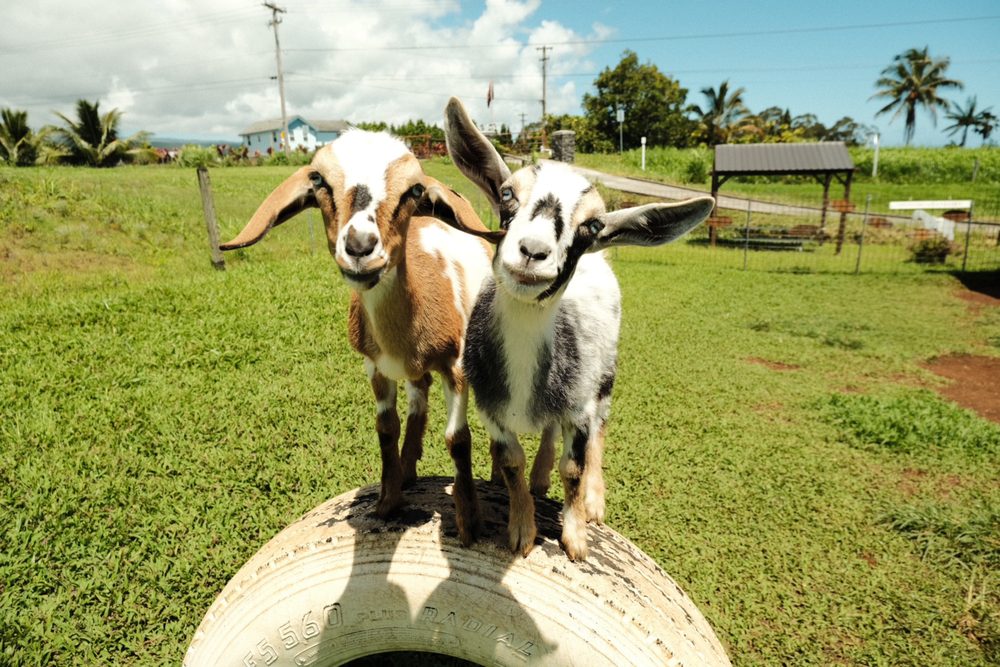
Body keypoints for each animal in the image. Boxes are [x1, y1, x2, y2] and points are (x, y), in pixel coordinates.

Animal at [219, 129, 497, 546]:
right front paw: (387, 501)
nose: (360, 248)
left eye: (415, 189)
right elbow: (386, 427)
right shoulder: (375, 366)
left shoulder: (456, 366)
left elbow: (458, 439)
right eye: (319, 180)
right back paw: (408, 469)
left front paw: (469, 524)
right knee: (419, 398)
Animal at [437, 97, 714, 559]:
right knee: (548, 432)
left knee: (601, 427)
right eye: (507, 193)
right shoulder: (491, 409)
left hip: (604, 374)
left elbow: (574, 467)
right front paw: (521, 528)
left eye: (593, 225)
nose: (533, 251)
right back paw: (538, 476)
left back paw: (594, 498)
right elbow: (510, 461)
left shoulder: (579, 408)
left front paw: (576, 535)